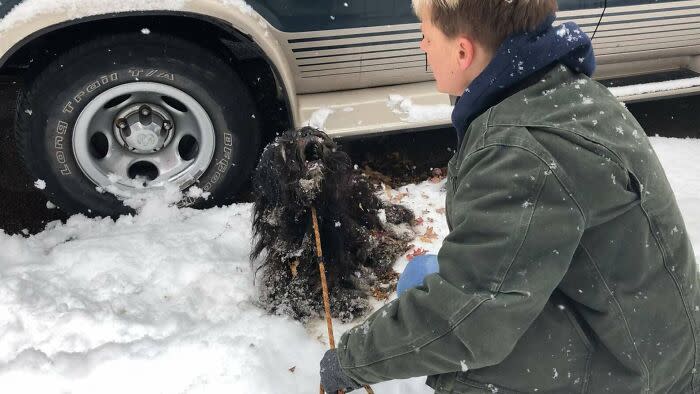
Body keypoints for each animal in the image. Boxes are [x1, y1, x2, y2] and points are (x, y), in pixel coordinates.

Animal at [252, 127, 416, 322]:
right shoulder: (283, 260)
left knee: (380, 219)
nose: (308, 135)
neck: (309, 209)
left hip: (360, 200)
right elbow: (282, 291)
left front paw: (348, 302)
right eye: (286, 148)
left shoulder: (343, 246)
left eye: (307, 132)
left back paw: (401, 231)